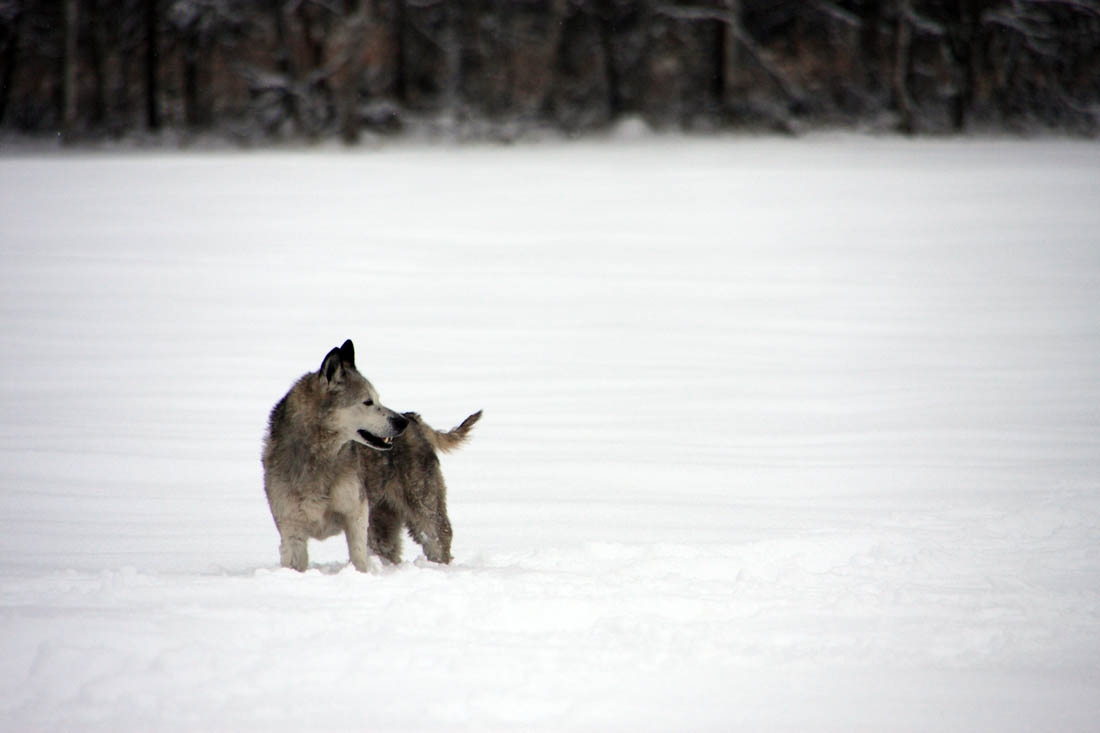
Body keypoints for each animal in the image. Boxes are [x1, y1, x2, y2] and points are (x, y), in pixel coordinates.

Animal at [261, 338, 481, 572]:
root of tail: (416, 419)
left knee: (438, 537)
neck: (318, 457)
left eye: (377, 399)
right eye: (367, 402)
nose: (401, 422)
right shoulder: (290, 525)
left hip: (424, 507)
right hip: (382, 520)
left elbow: (358, 558)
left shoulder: (355, 513)